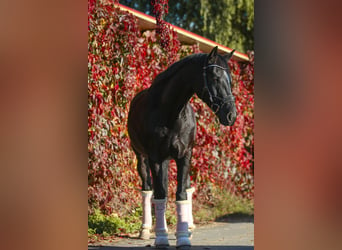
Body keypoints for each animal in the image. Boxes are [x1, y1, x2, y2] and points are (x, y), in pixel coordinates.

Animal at [127, 46, 236, 247]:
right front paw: (162, 237)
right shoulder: (155, 159)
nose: (231, 115)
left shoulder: (185, 156)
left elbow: (181, 194)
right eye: (215, 76)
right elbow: (160, 195)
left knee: (184, 187)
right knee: (148, 190)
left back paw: (187, 227)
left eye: (230, 79)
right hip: (142, 158)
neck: (170, 112)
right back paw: (145, 230)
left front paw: (183, 236)